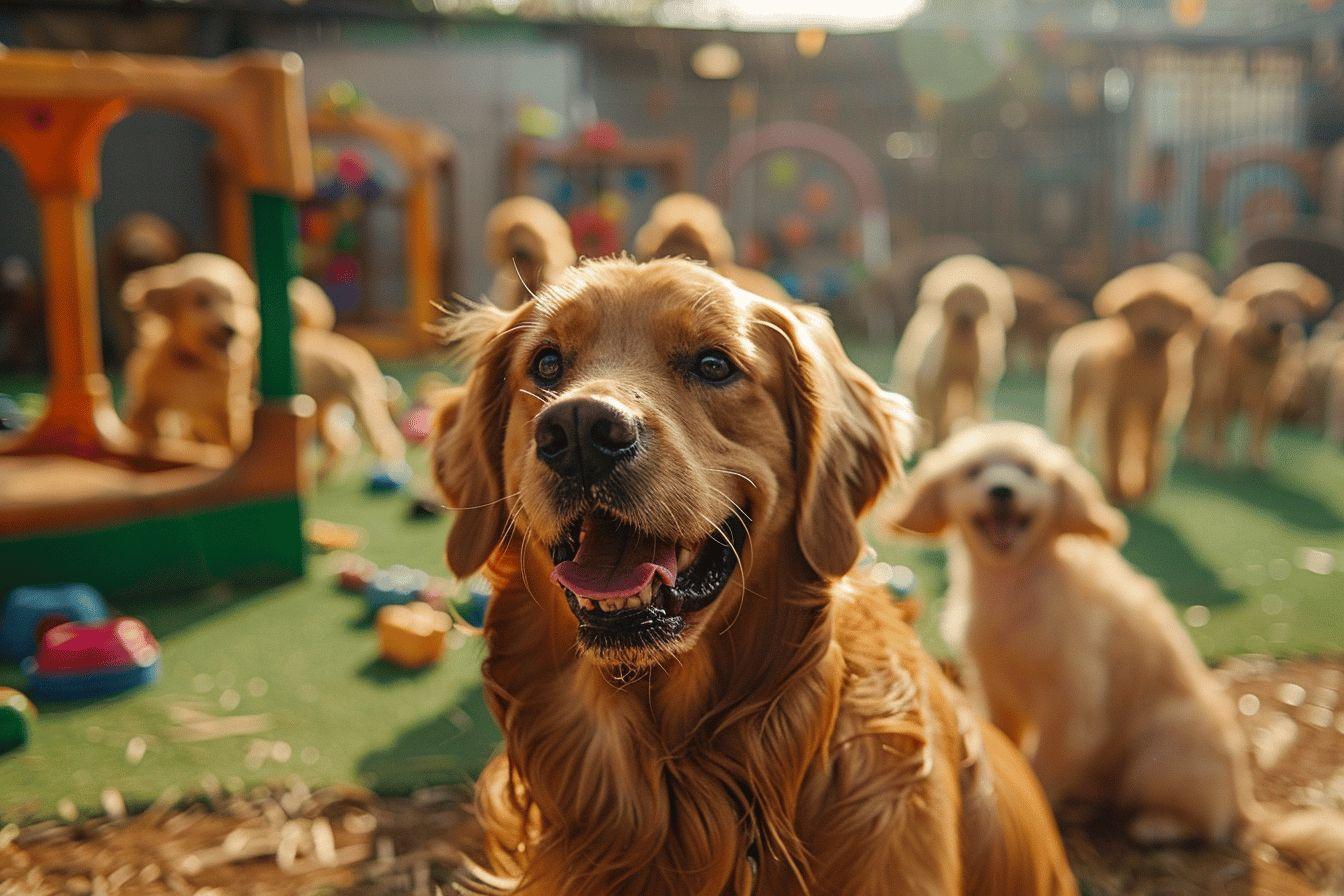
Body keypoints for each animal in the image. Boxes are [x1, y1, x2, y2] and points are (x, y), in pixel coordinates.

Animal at [881, 424, 1344, 881]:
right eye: (972, 471)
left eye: (1029, 470)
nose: (1001, 490)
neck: (1015, 587)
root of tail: (1246, 803)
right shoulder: (997, 690)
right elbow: (1008, 746)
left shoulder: (1071, 708)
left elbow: (1042, 768)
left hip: (1161, 753)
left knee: (1211, 825)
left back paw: (1159, 824)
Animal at [897, 255, 1010, 445]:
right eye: (959, 299)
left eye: (975, 299)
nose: (965, 314)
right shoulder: (940, 381)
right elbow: (939, 410)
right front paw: (939, 438)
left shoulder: (974, 382)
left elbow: (973, 408)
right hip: (923, 381)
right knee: (926, 407)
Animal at [1188, 260, 1333, 467]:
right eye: (1263, 298)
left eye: (1293, 299)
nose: (1277, 324)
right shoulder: (1224, 387)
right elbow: (1220, 424)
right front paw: (1218, 456)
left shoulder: (1271, 395)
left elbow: (1261, 428)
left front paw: (1259, 459)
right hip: (1201, 382)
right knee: (1197, 414)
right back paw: (1193, 449)